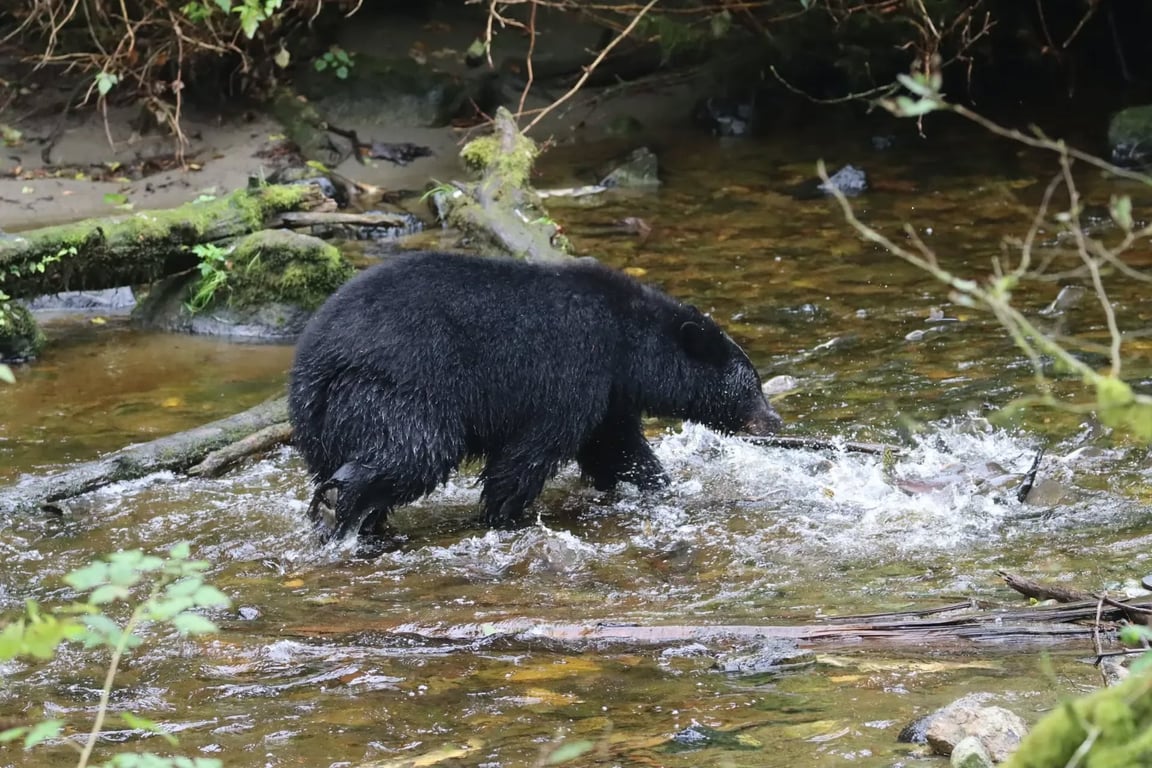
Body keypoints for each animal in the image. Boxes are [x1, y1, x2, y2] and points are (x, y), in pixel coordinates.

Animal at [287, 250, 783, 541]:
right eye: (752, 384)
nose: (774, 420)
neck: (627, 340)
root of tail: (313, 365)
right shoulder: (573, 365)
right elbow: (536, 447)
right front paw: (504, 514)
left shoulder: (609, 391)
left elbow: (616, 447)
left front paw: (655, 486)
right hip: (396, 385)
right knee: (416, 450)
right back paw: (342, 502)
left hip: (327, 417)